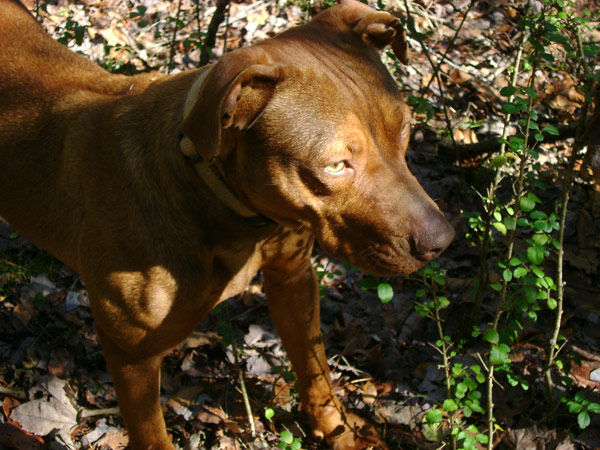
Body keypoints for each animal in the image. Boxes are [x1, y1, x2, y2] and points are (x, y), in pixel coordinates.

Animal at [0, 1, 452, 448]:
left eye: (405, 131)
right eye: (337, 165)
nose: (442, 241)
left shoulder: (293, 278)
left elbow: (315, 368)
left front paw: (338, 431)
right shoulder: (132, 356)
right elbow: (152, 435)